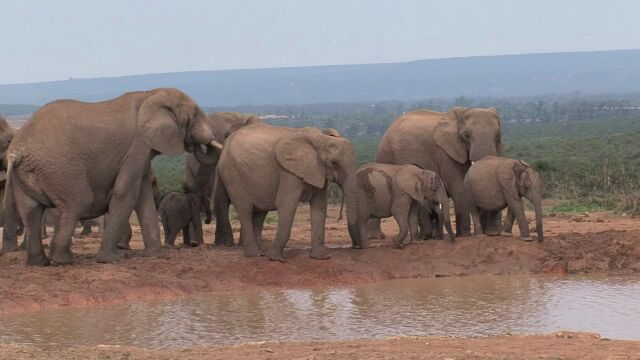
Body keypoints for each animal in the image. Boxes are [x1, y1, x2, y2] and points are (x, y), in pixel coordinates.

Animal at [4, 88, 225, 266]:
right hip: (60, 167)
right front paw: (110, 260)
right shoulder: (137, 145)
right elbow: (126, 191)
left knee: (31, 211)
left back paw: (39, 263)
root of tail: (17, 151)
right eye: (195, 115)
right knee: (78, 202)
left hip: (28, 173)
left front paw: (155, 255)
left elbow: (142, 194)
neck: (149, 94)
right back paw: (63, 260)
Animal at [212, 125, 358, 260]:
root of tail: (225, 145)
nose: (356, 247)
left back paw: (261, 253)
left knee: (259, 213)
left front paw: (322, 257)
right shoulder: (288, 172)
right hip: (232, 173)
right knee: (245, 210)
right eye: (333, 163)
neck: (321, 139)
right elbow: (286, 204)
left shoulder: (318, 172)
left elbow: (320, 206)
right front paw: (275, 259)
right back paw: (253, 255)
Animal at [376, 107, 504, 238]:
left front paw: (490, 234)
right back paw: (378, 237)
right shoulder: (445, 152)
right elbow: (459, 186)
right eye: (466, 136)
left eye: (498, 136)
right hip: (385, 154)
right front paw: (465, 235)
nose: (490, 233)